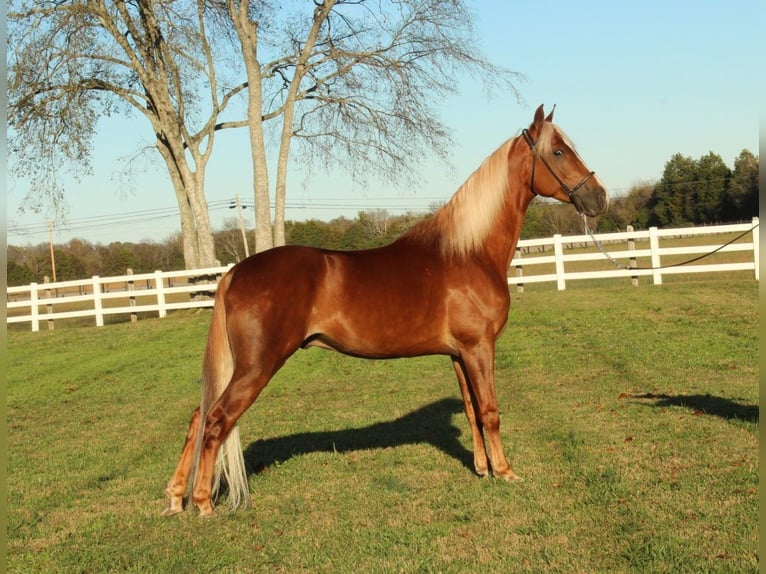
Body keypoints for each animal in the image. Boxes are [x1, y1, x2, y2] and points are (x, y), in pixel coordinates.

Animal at [164, 106, 612, 520]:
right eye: (558, 151)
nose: (599, 198)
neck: (468, 251)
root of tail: (233, 273)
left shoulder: (459, 354)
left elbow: (471, 411)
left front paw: (482, 469)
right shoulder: (479, 348)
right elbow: (490, 411)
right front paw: (505, 471)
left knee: (198, 416)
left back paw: (175, 498)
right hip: (256, 367)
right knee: (215, 420)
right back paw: (203, 503)